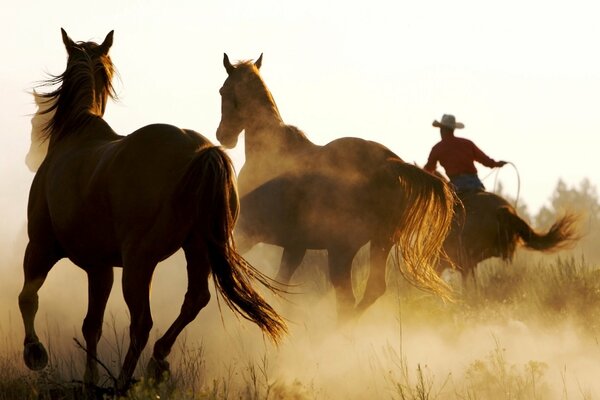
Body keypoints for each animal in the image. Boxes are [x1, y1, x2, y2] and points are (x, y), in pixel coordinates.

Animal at [216, 54, 454, 318]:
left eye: (222, 90)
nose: (223, 135)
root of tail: (390, 164)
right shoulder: (295, 246)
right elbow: (281, 285)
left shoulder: (248, 232)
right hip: (379, 243)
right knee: (371, 291)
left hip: (341, 250)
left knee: (348, 299)